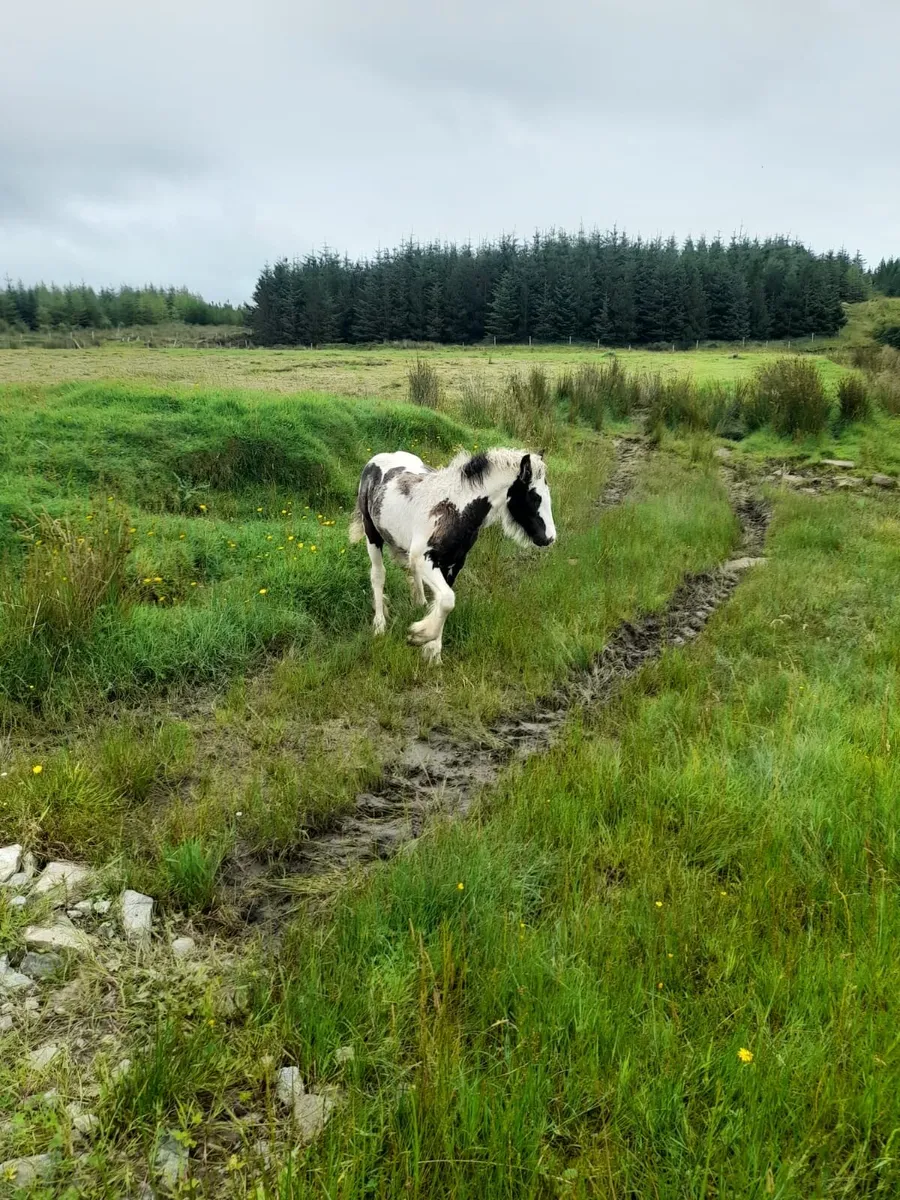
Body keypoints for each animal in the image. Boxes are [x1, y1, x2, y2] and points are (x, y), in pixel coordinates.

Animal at [349, 447, 556, 662]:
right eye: (534, 497)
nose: (549, 538)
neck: (456, 509)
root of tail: (378, 458)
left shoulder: (454, 563)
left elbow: (444, 600)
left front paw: (433, 652)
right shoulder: (425, 559)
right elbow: (448, 599)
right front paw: (420, 635)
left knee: (411, 572)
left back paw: (419, 603)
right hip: (372, 533)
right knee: (378, 575)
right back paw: (379, 624)